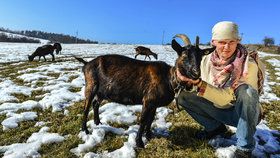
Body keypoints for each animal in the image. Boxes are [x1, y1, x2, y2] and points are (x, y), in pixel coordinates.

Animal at [74, 34, 214, 148]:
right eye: (184, 55)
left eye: (201, 57)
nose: (196, 73)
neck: (168, 78)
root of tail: (86, 64)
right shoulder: (148, 100)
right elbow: (143, 120)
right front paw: (139, 143)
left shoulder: (154, 104)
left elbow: (150, 120)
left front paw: (149, 136)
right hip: (91, 86)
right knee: (86, 107)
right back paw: (85, 130)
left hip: (102, 91)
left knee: (95, 104)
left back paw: (98, 123)